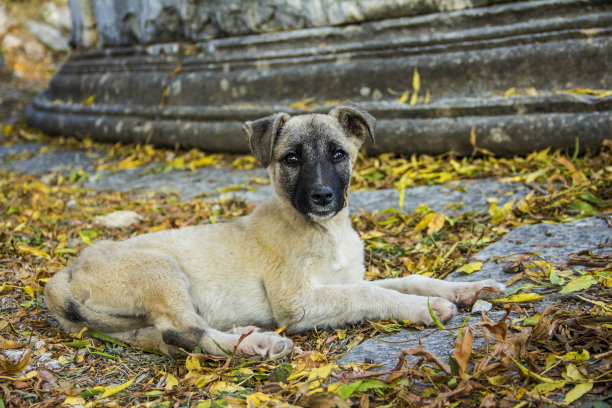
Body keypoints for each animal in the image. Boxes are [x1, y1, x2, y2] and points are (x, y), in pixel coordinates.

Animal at [44, 105, 506, 360]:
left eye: (339, 154)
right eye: (291, 159)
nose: (322, 196)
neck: (325, 231)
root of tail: (62, 275)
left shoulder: (339, 280)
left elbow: (405, 279)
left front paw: (465, 289)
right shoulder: (297, 303)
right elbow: (369, 294)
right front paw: (426, 308)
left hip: (133, 322)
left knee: (170, 337)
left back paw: (245, 336)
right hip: (161, 269)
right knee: (183, 330)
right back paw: (259, 346)